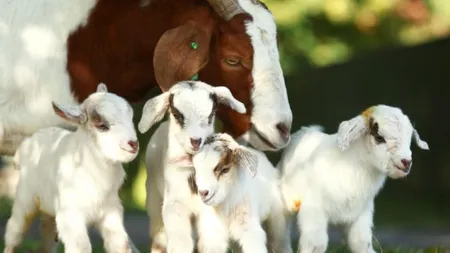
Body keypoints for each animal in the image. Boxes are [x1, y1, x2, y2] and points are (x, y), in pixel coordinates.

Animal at [3, 83, 139, 253]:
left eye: (131, 119)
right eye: (102, 126)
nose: (134, 144)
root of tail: (26, 144)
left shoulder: (111, 213)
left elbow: (120, 244)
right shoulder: (71, 217)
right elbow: (81, 246)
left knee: (47, 235)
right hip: (25, 201)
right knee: (15, 232)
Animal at [139, 80, 248, 252]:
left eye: (211, 115)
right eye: (177, 115)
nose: (195, 141)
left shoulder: (211, 210)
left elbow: (210, 243)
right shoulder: (174, 206)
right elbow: (180, 243)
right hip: (153, 197)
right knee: (158, 235)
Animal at [278, 104, 428, 253]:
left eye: (409, 139)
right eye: (379, 138)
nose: (406, 162)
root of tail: (306, 130)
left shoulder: (362, 212)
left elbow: (361, 242)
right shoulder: (313, 209)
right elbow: (316, 244)